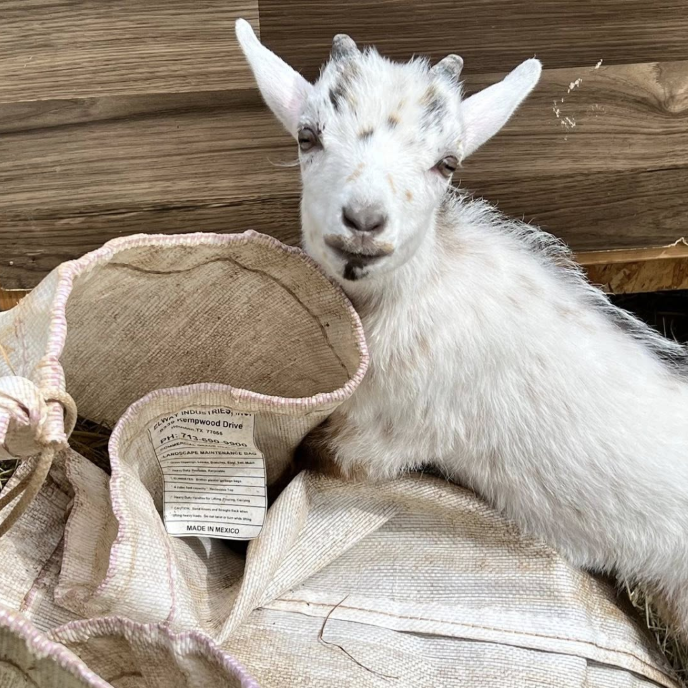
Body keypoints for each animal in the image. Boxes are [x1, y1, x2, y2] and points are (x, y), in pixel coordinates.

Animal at [236, 19, 688, 638]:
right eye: (308, 136)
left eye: (446, 162)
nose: (363, 222)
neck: (413, 293)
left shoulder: (376, 436)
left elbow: (308, 462)